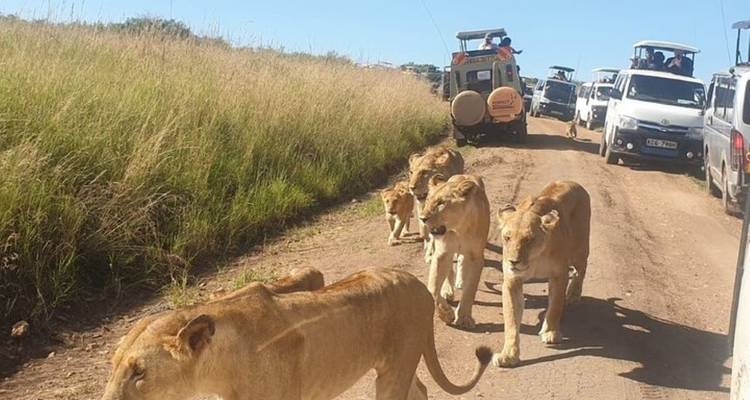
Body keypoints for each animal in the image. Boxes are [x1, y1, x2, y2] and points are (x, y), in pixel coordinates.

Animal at [101, 267, 492, 400]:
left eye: (139, 373)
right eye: (112, 366)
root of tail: (419, 285)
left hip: (395, 370)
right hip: (397, 365)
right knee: (420, 388)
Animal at [419, 174, 490, 329]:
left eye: (441, 203)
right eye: (427, 201)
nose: (422, 218)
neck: (458, 229)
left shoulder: (477, 257)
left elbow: (470, 289)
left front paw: (464, 318)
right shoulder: (442, 253)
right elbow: (432, 288)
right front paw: (446, 314)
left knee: (462, 260)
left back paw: (460, 281)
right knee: (450, 269)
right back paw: (447, 290)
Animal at [493, 180, 591, 368]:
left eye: (529, 240)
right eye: (507, 238)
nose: (513, 262)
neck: (534, 258)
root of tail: (573, 182)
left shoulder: (559, 275)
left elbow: (555, 307)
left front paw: (551, 332)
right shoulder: (512, 281)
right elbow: (511, 321)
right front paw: (508, 355)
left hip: (579, 249)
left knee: (581, 270)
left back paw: (573, 295)